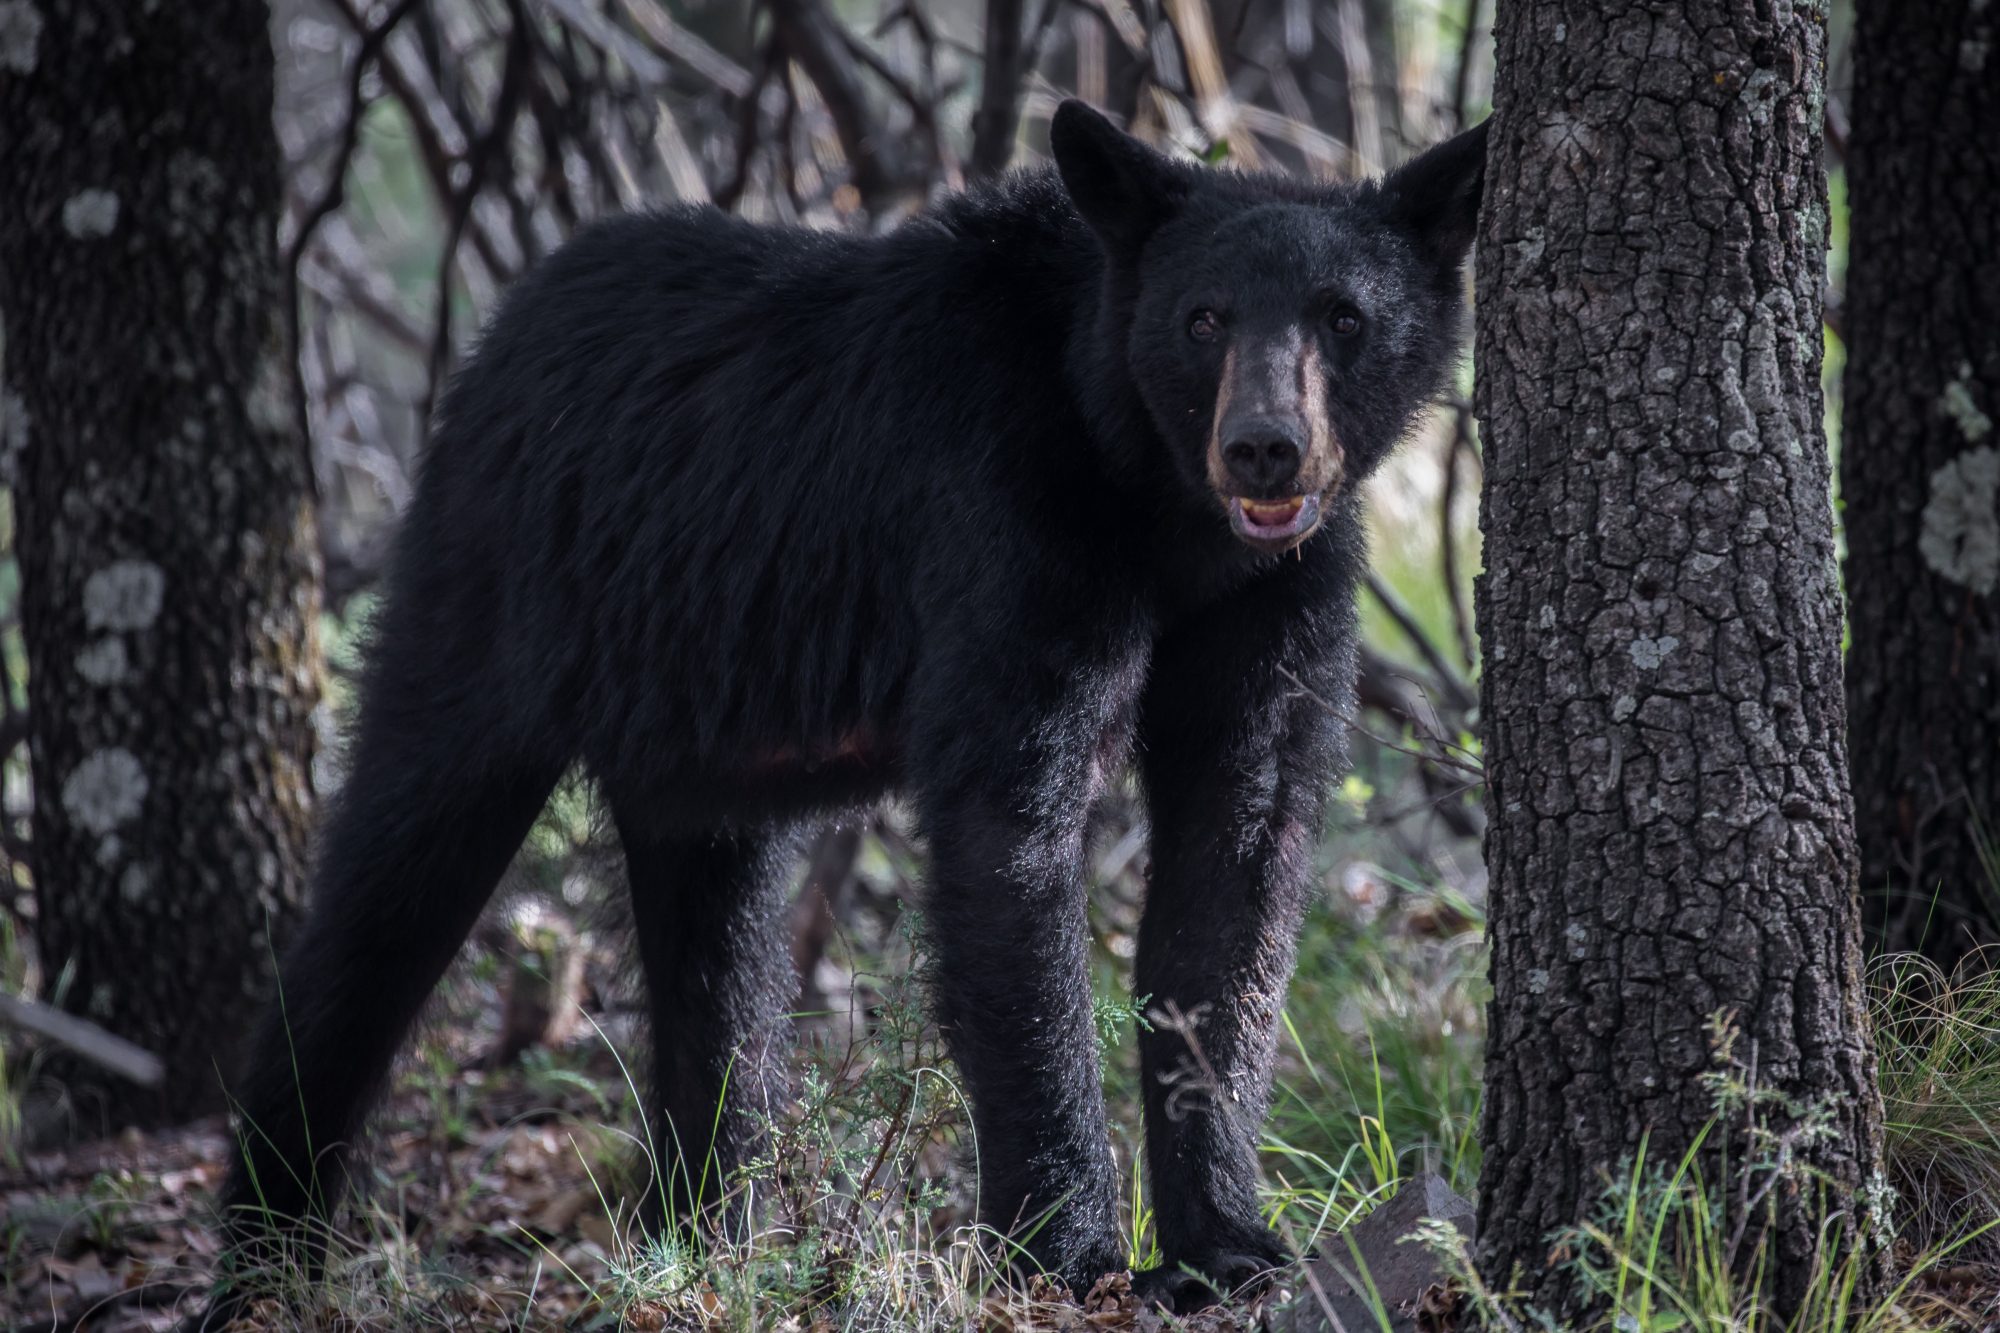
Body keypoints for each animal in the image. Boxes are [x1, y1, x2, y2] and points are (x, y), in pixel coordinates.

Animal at [206, 99, 1486, 1318]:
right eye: (1203, 318)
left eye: (1343, 318)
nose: (1263, 449)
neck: (1161, 506)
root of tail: (494, 338)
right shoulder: (1010, 526)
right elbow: (1010, 842)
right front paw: (1067, 1251)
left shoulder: (1275, 598)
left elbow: (1236, 866)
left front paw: (1226, 1242)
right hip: (482, 600)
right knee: (387, 891)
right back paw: (261, 1255)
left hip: (692, 732)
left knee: (719, 968)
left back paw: (701, 1240)